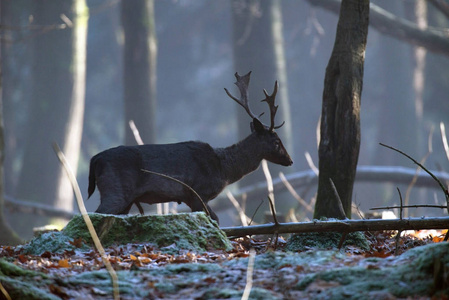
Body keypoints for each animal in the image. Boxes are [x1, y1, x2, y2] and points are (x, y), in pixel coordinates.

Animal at [87, 72, 292, 223]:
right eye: (276, 141)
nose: (290, 160)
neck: (224, 169)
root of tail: (95, 159)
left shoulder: (189, 197)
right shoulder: (198, 193)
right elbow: (215, 219)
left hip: (125, 199)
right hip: (115, 190)